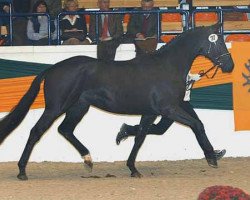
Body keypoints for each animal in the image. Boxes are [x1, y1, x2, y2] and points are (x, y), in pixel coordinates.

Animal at [0, 23, 234, 180]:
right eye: (218, 41)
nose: (229, 65)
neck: (167, 66)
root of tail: (52, 69)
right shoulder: (168, 109)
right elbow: (197, 125)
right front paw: (211, 157)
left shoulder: (151, 112)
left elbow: (140, 136)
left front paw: (132, 167)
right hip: (56, 107)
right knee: (36, 131)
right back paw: (22, 171)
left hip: (79, 107)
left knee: (65, 129)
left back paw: (88, 159)